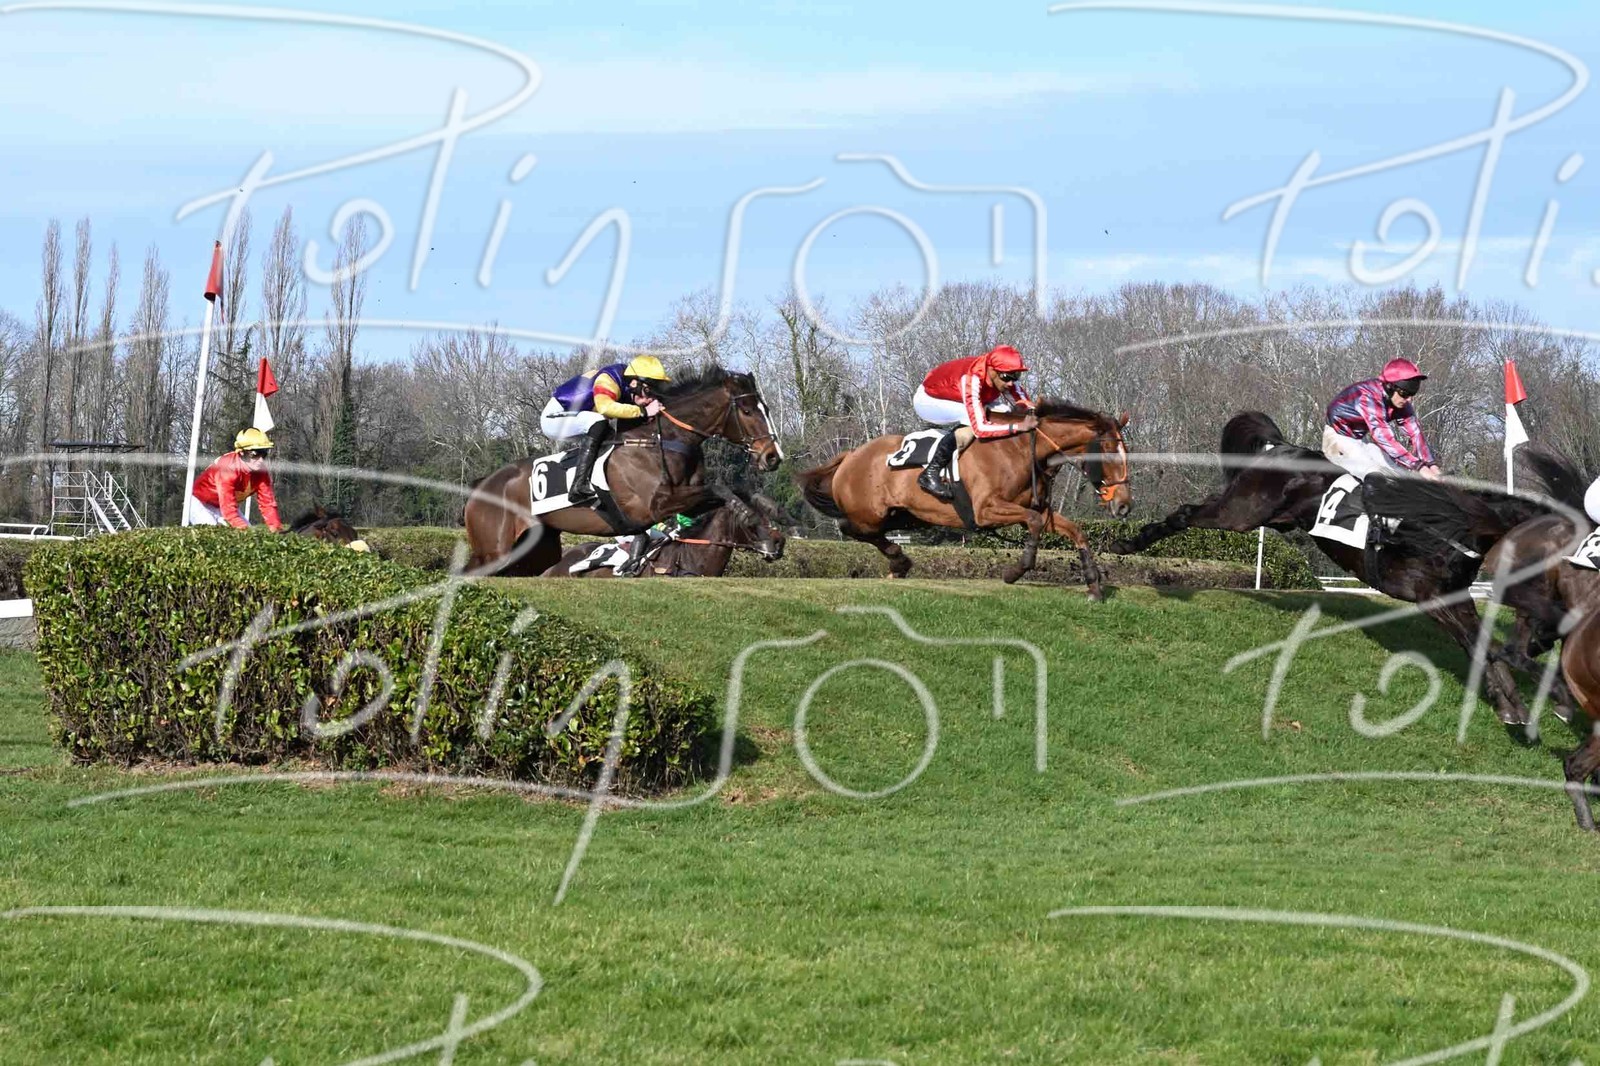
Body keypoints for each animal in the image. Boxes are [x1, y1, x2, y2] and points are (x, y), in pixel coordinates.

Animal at [796, 401, 1132, 600]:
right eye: (1107, 449)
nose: (1124, 505)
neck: (1021, 450)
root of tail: (852, 455)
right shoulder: (986, 510)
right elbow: (1033, 522)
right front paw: (1015, 571)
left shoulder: (1038, 508)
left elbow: (1075, 530)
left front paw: (1094, 585)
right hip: (869, 512)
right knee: (851, 528)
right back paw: (899, 560)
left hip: (906, 515)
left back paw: (898, 563)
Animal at [1107, 411, 1550, 729]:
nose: (1542, 642)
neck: (1456, 529)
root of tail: (1280, 446)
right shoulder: (1432, 597)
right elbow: (1482, 647)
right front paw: (1513, 707)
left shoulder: (1454, 597)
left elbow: (1482, 646)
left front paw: (1512, 706)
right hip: (1240, 513)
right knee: (1187, 513)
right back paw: (1127, 543)